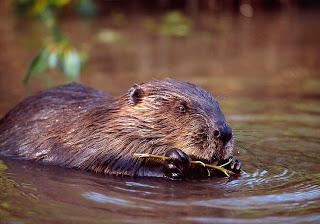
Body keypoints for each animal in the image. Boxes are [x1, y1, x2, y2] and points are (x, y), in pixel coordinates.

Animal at [0, 79, 240, 178]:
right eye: (181, 107)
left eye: (218, 105)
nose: (224, 133)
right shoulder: (92, 143)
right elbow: (112, 162)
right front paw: (174, 161)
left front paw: (233, 164)